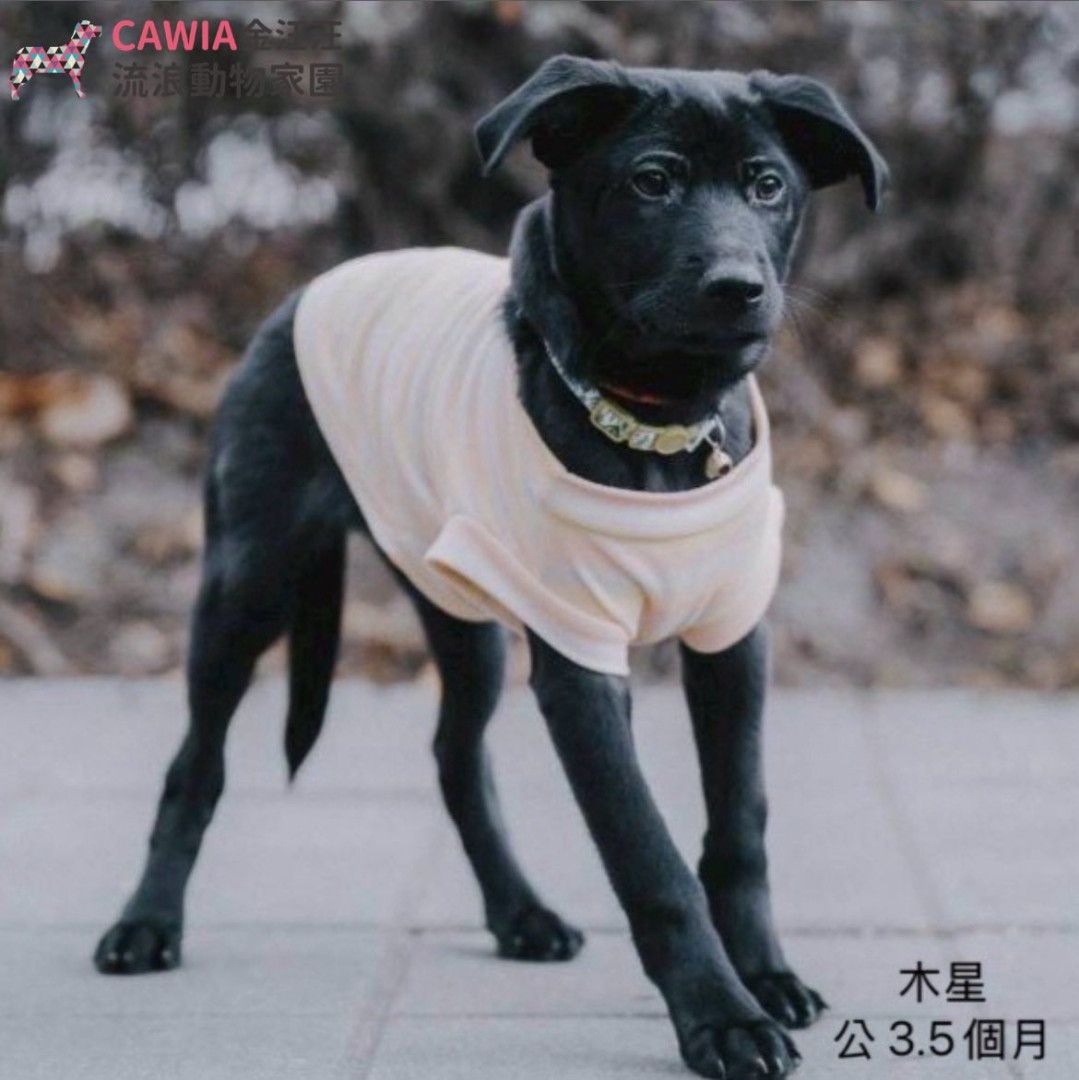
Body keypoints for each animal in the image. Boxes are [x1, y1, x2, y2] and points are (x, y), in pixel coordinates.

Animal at [94, 56, 887, 1079]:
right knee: (196, 763)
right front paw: (721, 1018)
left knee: (454, 756)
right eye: (652, 182)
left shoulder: (731, 636)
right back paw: (146, 925)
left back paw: (521, 913)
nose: (736, 287)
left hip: (460, 611)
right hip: (248, 583)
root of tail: (308, 291)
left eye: (766, 185)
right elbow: (648, 853)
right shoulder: (582, 663)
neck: (658, 426)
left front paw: (765, 977)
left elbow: (738, 822)